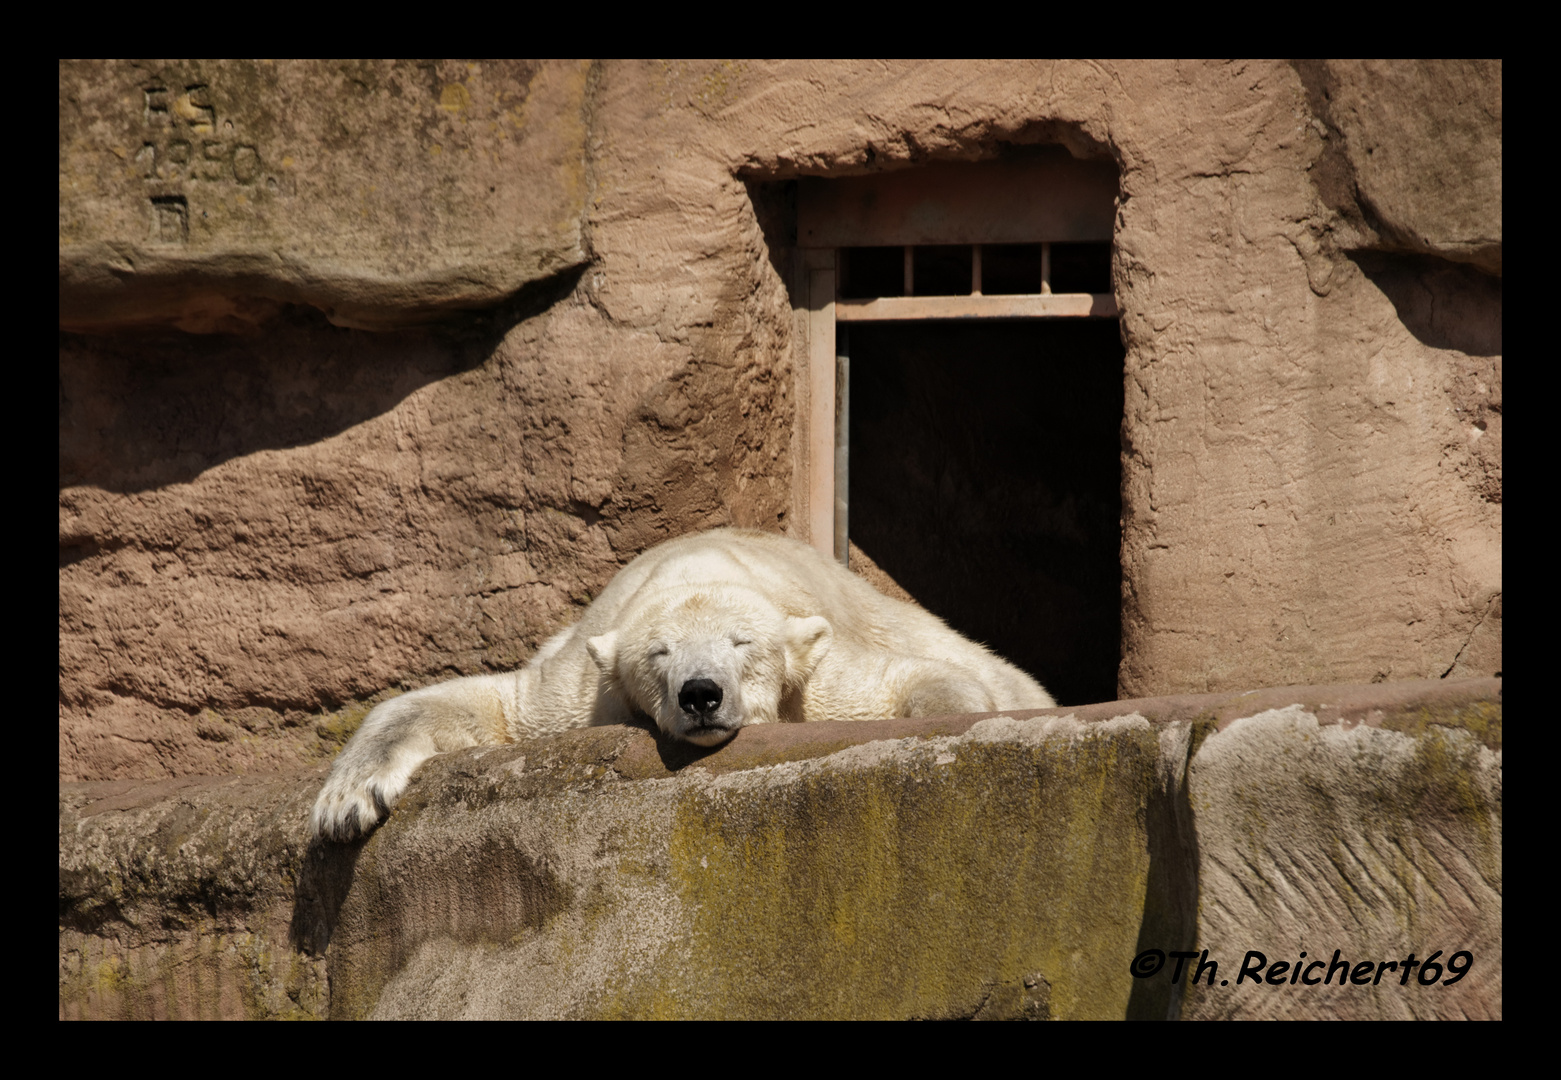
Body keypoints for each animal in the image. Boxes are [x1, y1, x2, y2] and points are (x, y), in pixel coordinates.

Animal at [310, 527, 1055, 836]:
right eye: (658, 654)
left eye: (742, 644)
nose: (702, 694)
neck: (696, 567)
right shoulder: (582, 690)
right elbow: (490, 704)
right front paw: (345, 804)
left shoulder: (821, 672)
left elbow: (916, 681)